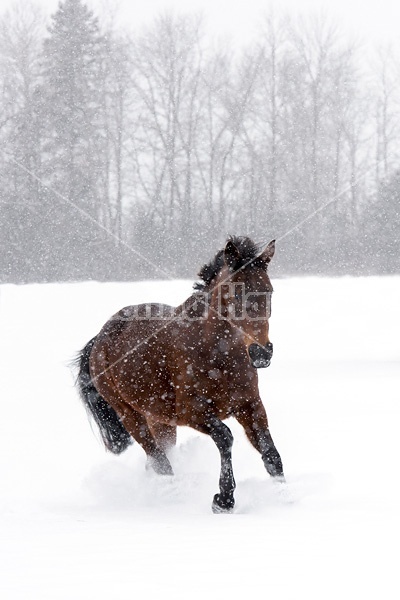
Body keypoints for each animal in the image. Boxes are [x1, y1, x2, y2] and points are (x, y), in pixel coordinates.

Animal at [76, 237, 284, 512]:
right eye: (237, 292)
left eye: (269, 290)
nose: (261, 352)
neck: (218, 354)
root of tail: (100, 337)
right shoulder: (192, 412)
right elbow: (225, 437)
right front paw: (223, 499)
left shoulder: (250, 406)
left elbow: (270, 453)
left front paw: (284, 496)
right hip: (130, 415)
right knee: (160, 461)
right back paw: (172, 496)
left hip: (160, 420)